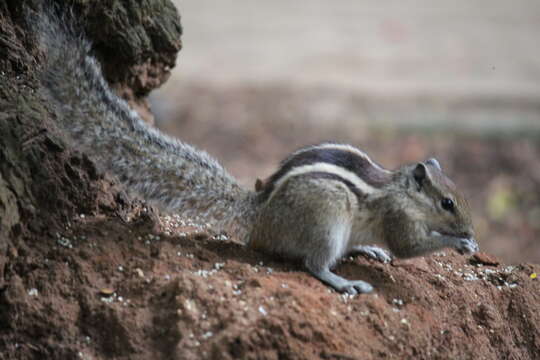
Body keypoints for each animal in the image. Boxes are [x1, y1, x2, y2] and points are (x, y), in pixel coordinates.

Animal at [35, 9, 478, 296]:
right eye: (448, 203)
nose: (471, 231)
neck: (403, 190)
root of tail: (259, 215)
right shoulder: (397, 217)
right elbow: (409, 247)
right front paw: (458, 243)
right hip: (326, 217)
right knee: (313, 263)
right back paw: (342, 280)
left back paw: (363, 248)